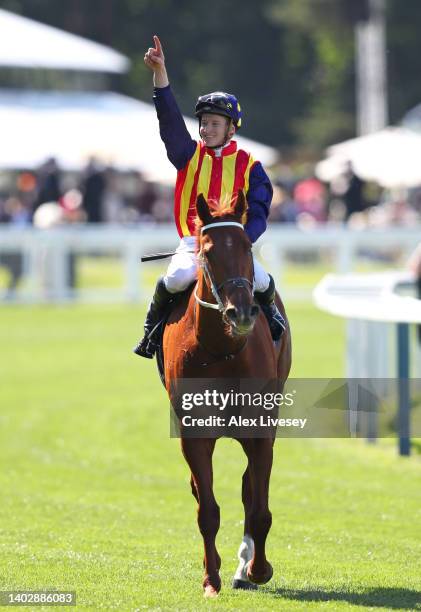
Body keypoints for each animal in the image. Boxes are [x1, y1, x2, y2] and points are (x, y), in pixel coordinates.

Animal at [162, 192, 290, 596]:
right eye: (207, 251)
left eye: (248, 246)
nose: (242, 313)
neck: (222, 350)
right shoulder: (194, 435)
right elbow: (207, 509)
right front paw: (210, 577)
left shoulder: (261, 431)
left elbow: (259, 507)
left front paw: (258, 569)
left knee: (250, 490)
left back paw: (245, 567)